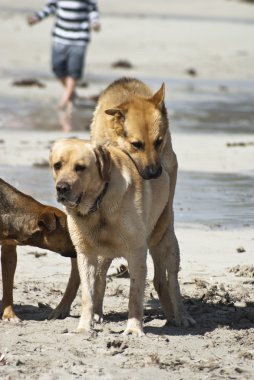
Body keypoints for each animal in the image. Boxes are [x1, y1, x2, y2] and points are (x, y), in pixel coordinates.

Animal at [48, 140, 170, 336]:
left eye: (80, 168)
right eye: (57, 165)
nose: (62, 188)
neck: (98, 206)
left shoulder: (136, 253)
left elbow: (135, 295)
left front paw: (134, 328)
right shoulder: (86, 255)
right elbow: (87, 295)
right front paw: (84, 327)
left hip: (161, 239)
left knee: (165, 280)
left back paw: (179, 317)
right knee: (100, 279)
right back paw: (97, 315)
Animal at [90, 77, 195, 326]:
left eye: (158, 141)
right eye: (137, 144)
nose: (155, 173)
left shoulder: (170, 164)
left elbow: (167, 197)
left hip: (170, 247)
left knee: (168, 279)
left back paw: (180, 315)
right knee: (104, 276)